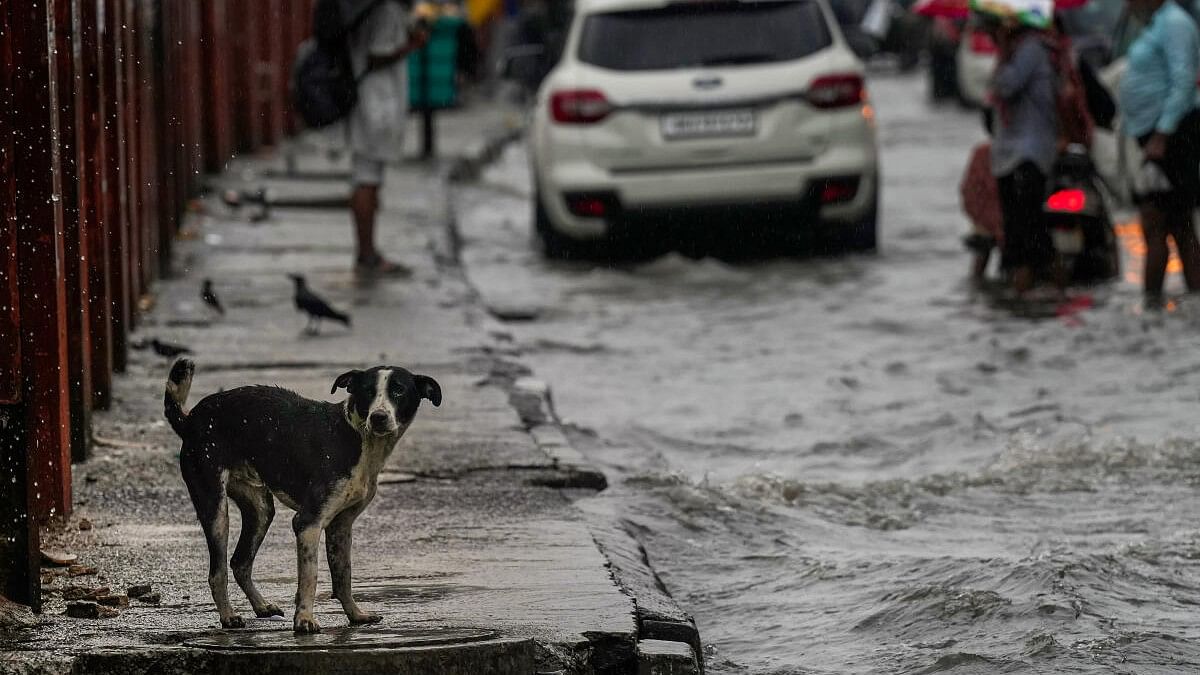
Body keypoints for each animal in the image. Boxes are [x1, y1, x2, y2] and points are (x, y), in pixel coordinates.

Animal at [162, 357, 439, 629]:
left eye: (398, 391)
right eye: (367, 392)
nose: (379, 417)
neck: (356, 435)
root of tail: (190, 419)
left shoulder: (341, 525)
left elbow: (344, 576)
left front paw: (355, 615)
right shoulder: (308, 523)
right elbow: (310, 576)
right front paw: (304, 619)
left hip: (261, 510)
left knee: (240, 562)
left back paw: (262, 606)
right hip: (216, 509)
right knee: (217, 572)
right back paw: (228, 616)